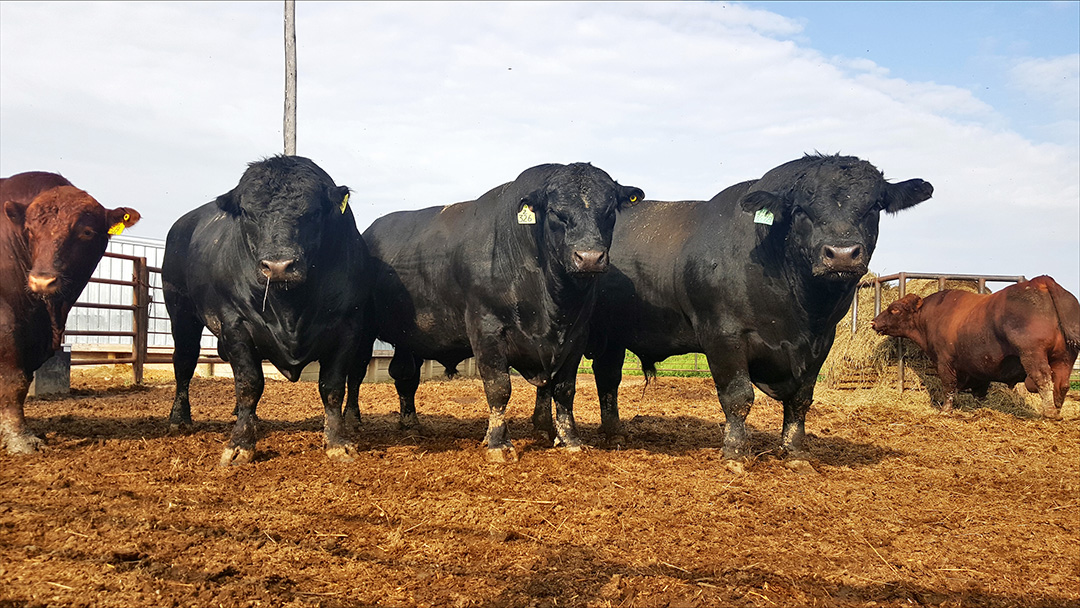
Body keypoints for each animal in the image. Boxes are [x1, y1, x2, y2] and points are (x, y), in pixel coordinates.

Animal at [1, 171, 140, 454]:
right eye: (29, 231)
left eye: (86, 231)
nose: (42, 281)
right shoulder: (7, 321)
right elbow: (13, 380)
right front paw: (20, 438)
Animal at [162, 156, 371, 466]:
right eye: (248, 213)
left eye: (314, 212)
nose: (279, 266)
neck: (291, 310)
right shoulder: (235, 324)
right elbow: (249, 384)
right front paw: (240, 444)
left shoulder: (348, 326)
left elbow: (332, 387)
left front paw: (337, 442)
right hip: (181, 312)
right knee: (184, 362)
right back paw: (179, 419)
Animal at [346, 163, 643, 463]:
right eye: (555, 212)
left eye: (609, 211)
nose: (589, 257)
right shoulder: (485, 327)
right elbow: (499, 387)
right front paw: (499, 443)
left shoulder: (576, 334)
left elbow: (564, 389)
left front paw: (570, 439)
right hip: (363, 329)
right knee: (356, 371)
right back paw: (353, 421)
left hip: (410, 336)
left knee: (405, 375)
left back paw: (410, 424)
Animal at [550, 154, 933, 463]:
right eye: (801, 208)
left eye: (874, 205)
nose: (841, 254)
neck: (801, 311)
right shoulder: (723, 334)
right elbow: (738, 397)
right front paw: (735, 452)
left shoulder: (821, 342)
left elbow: (801, 400)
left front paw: (795, 453)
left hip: (613, 335)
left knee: (607, 378)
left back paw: (615, 434)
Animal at [871, 276, 1080, 418]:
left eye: (894, 309)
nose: (874, 322)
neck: (931, 316)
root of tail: (1042, 281)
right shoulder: (980, 367)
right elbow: (979, 390)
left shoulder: (944, 361)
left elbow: (949, 386)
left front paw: (945, 410)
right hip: (1065, 358)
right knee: (1062, 384)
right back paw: (1057, 410)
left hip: (1033, 355)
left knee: (1043, 379)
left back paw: (1049, 412)